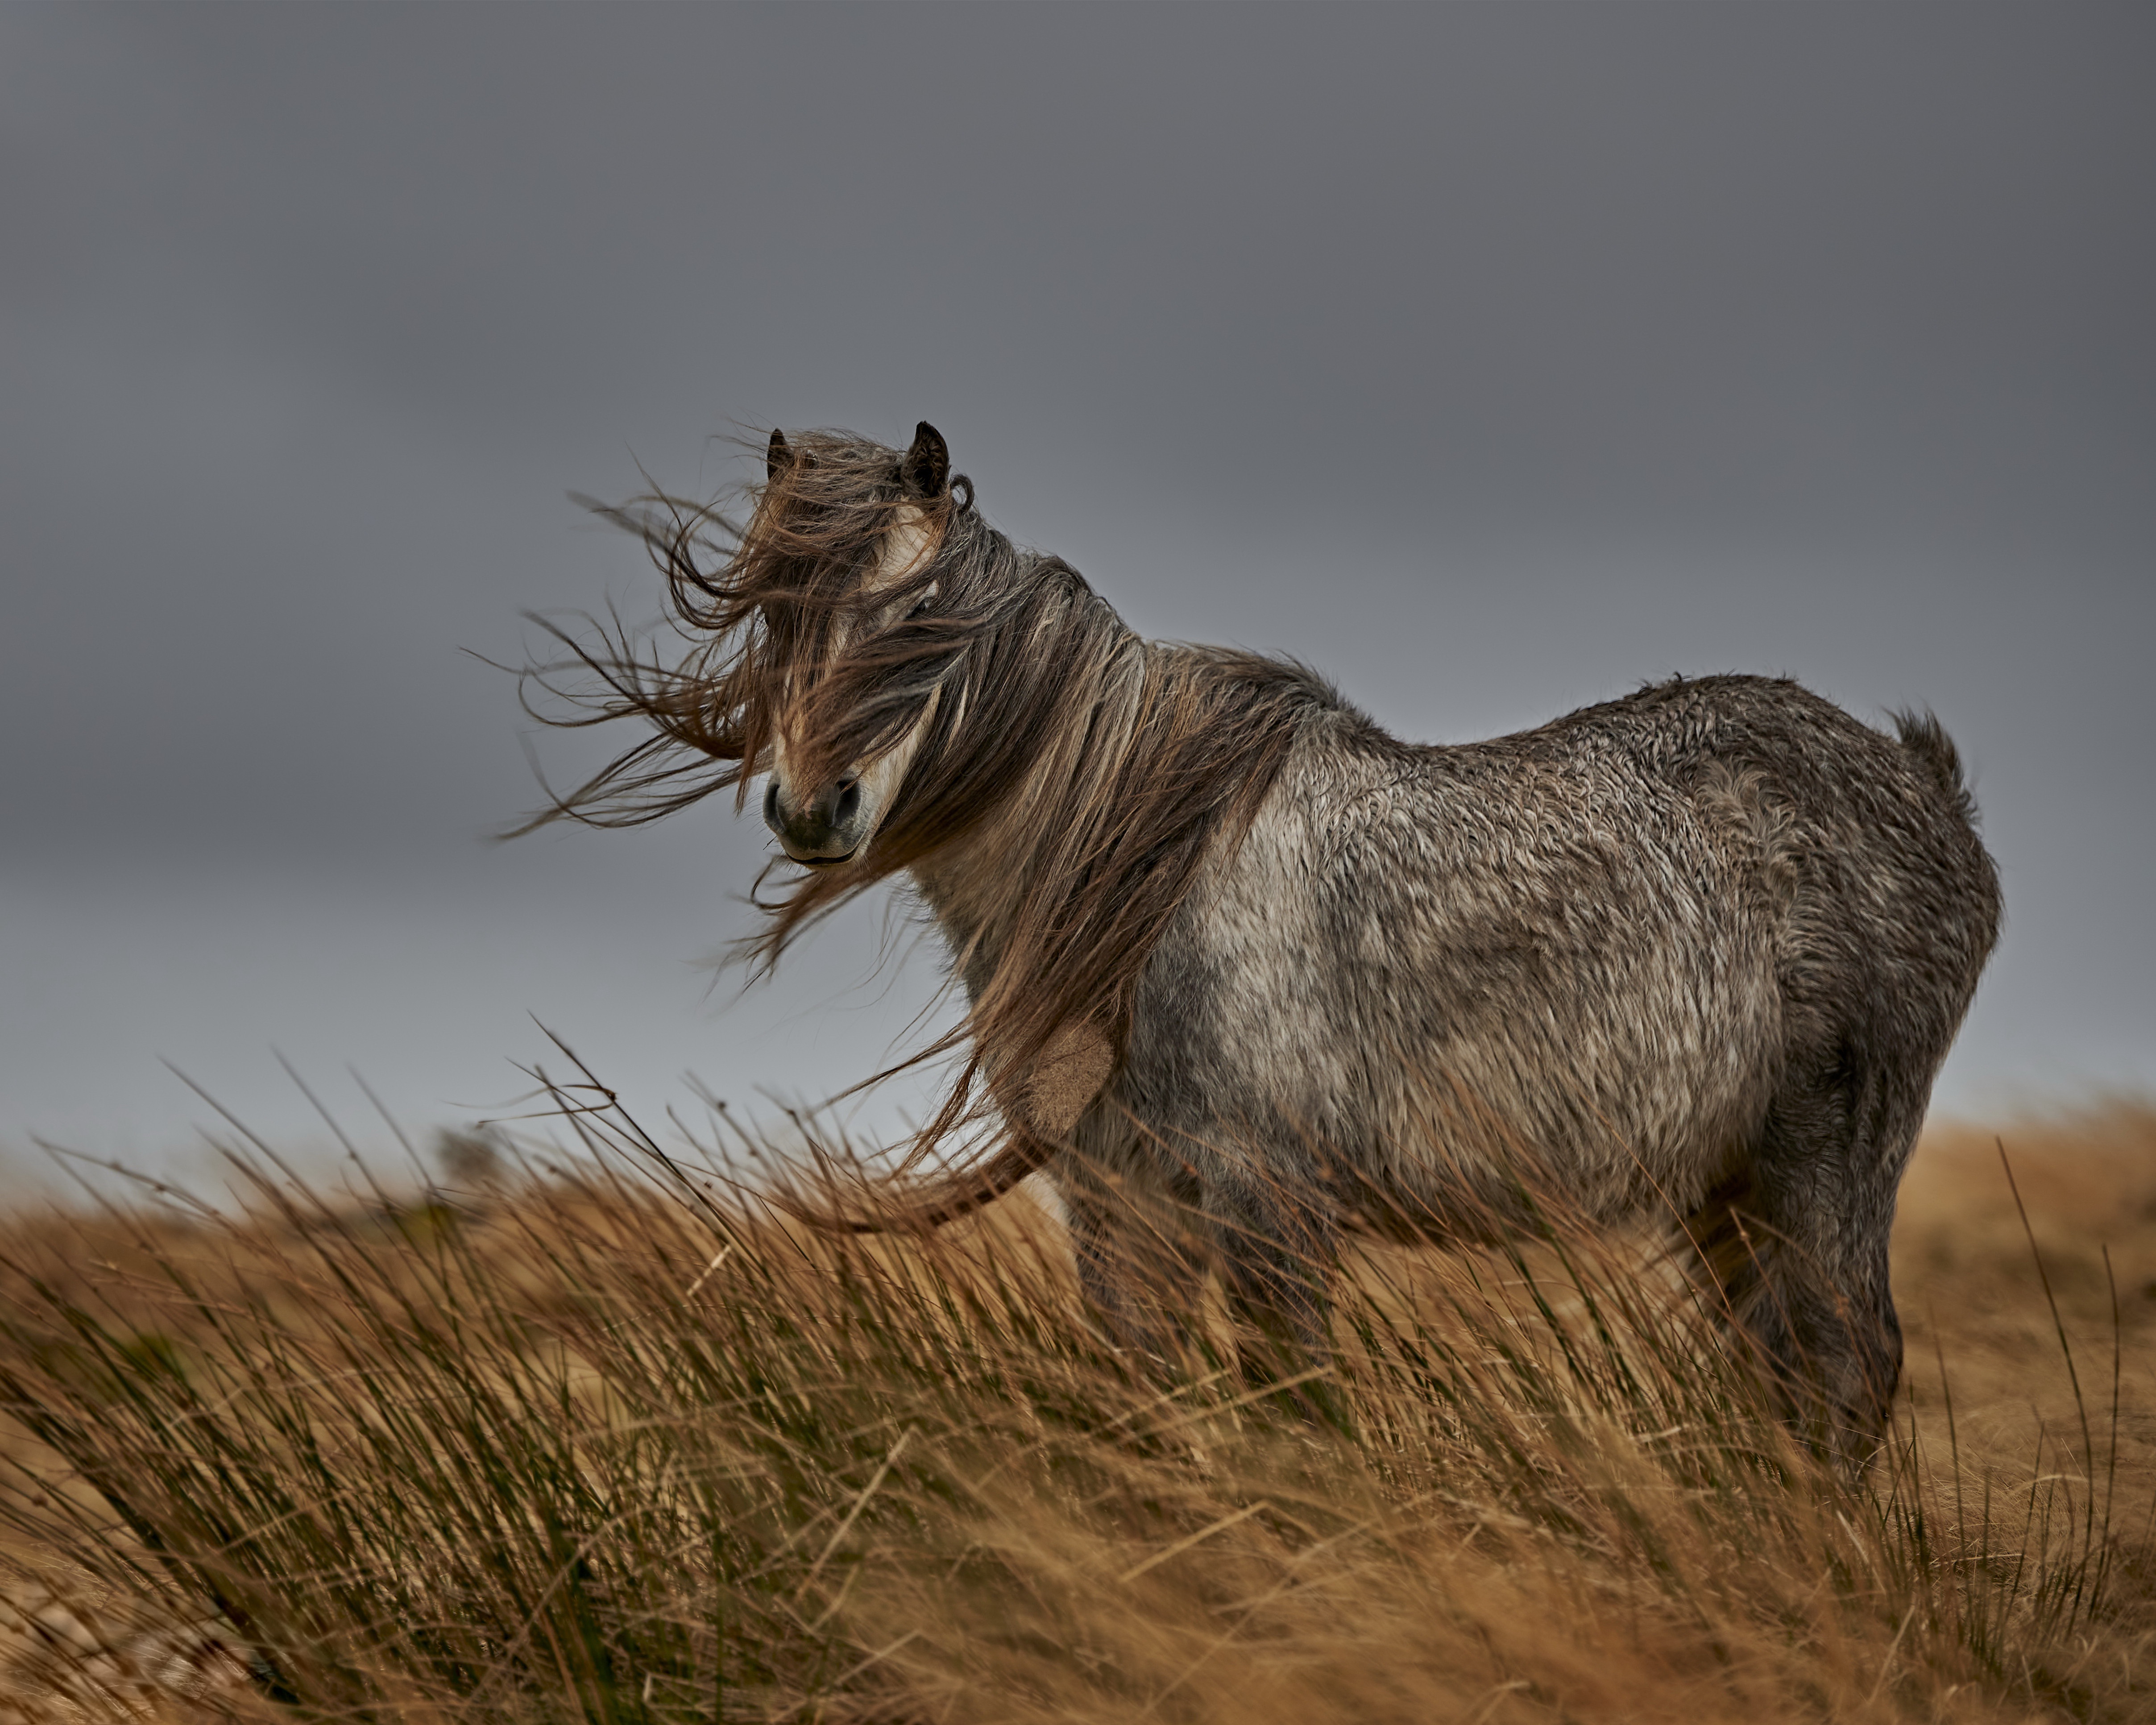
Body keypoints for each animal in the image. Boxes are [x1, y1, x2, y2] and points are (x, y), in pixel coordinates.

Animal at [526, 420, 2001, 1457]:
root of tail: (1928, 788)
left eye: (921, 620)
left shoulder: (1268, 1198)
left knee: (1848, 1372)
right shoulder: (1118, 1200)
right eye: (779, 611)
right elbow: (1142, 1405)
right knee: (1781, 1383)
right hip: (1727, 1185)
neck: (1143, 871)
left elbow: (1298, 1424)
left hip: (1820, 1163)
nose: (812, 809)